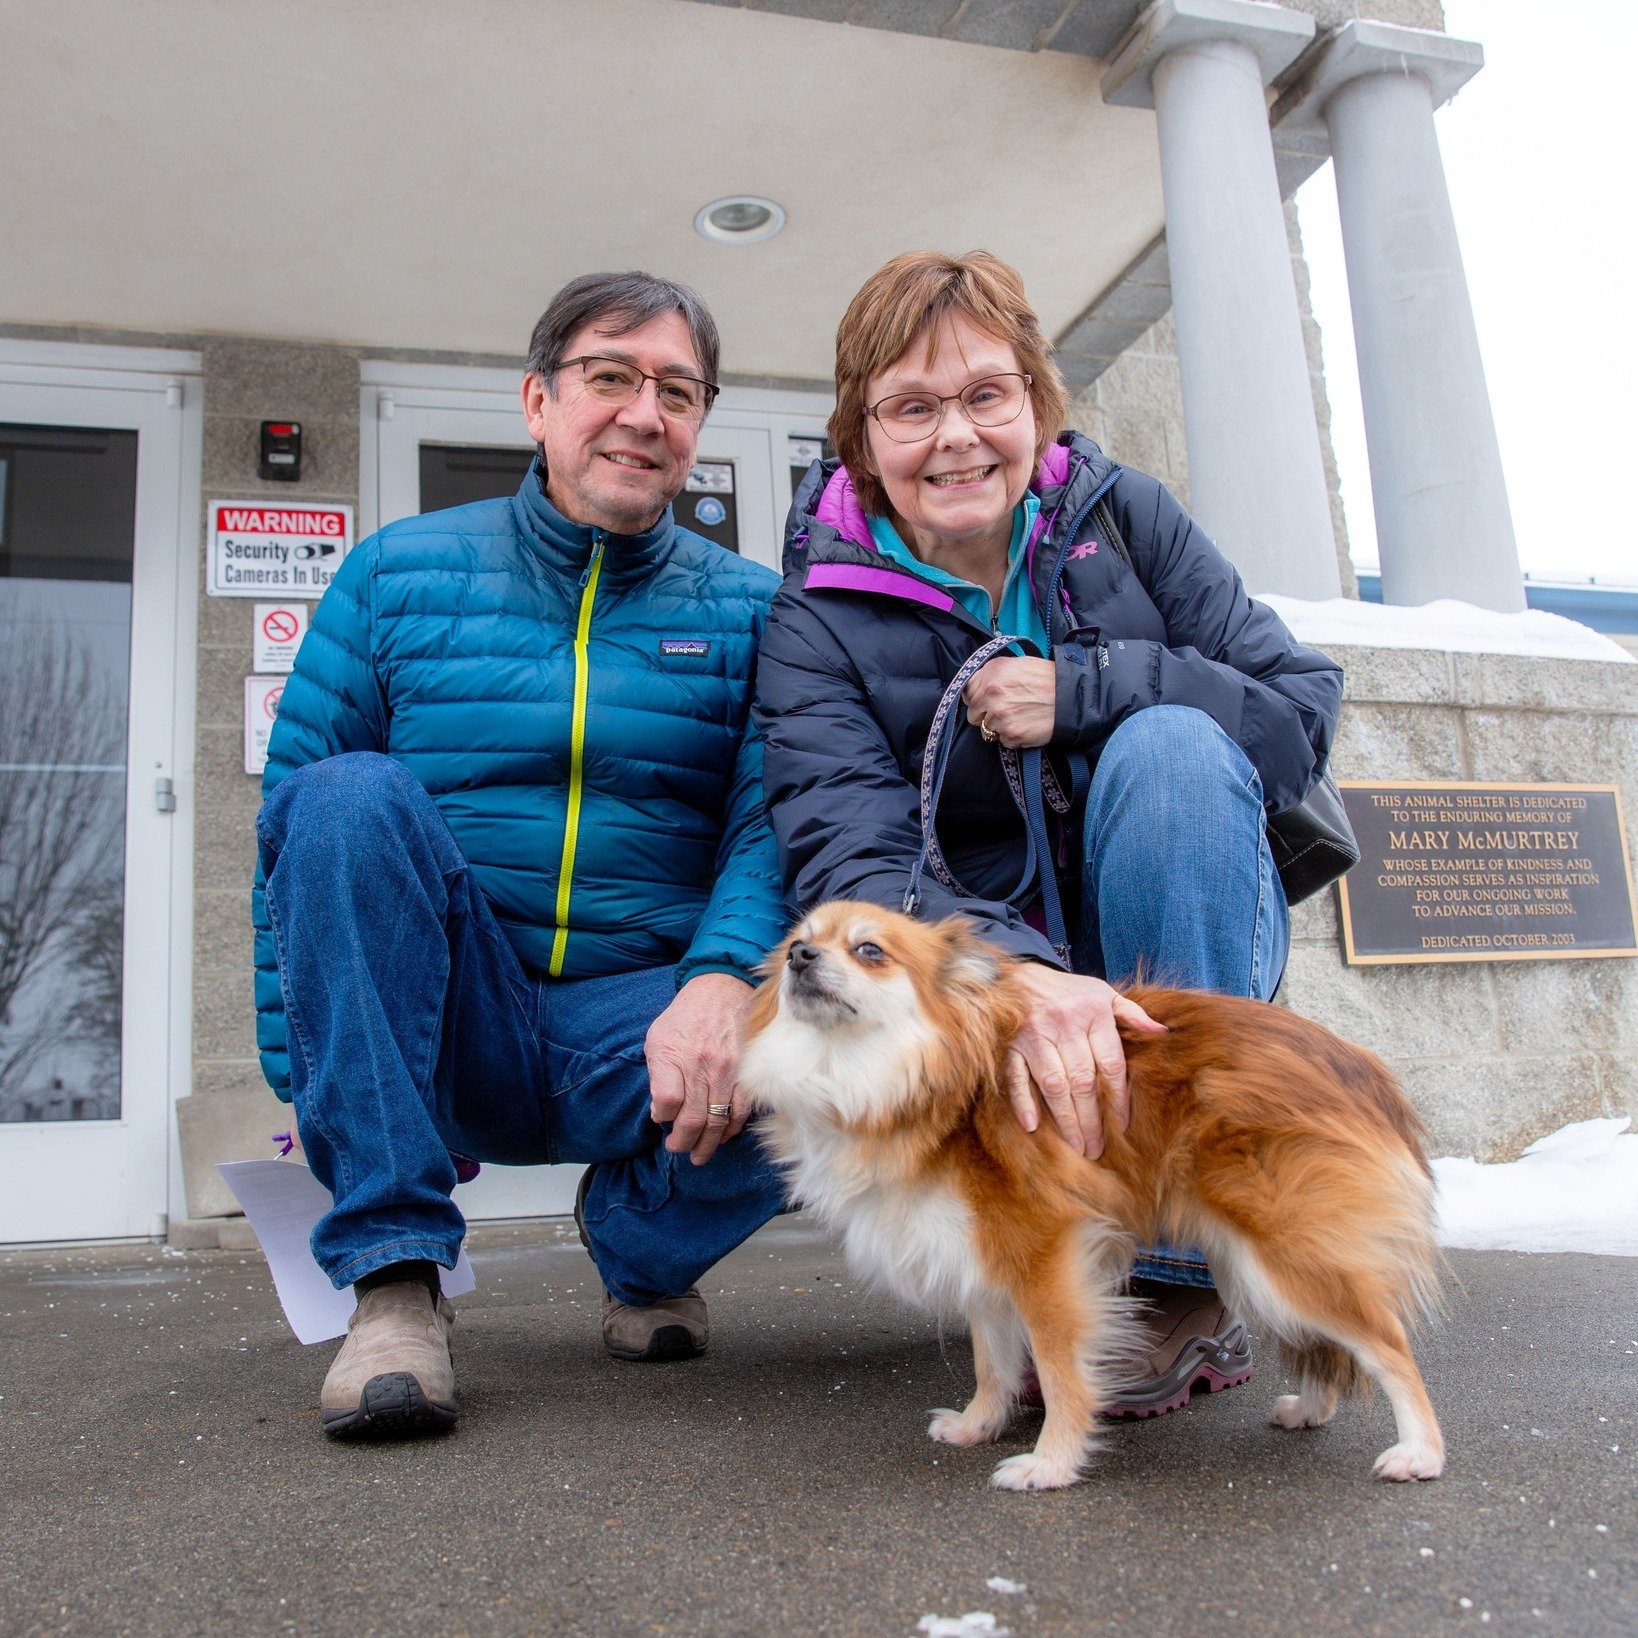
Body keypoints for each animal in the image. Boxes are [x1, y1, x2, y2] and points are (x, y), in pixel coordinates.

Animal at [737, 904, 1441, 1493]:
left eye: (869, 951)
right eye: (797, 942)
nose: (802, 958)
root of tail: (1362, 1069)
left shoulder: (1050, 1259)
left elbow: (1059, 1372)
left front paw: (1049, 1463)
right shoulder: (983, 1255)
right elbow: (992, 1361)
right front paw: (978, 1425)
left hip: (1279, 1252)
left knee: (1387, 1345)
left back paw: (1420, 1453)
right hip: (1257, 1260)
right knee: (1336, 1340)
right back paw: (1311, 1409)